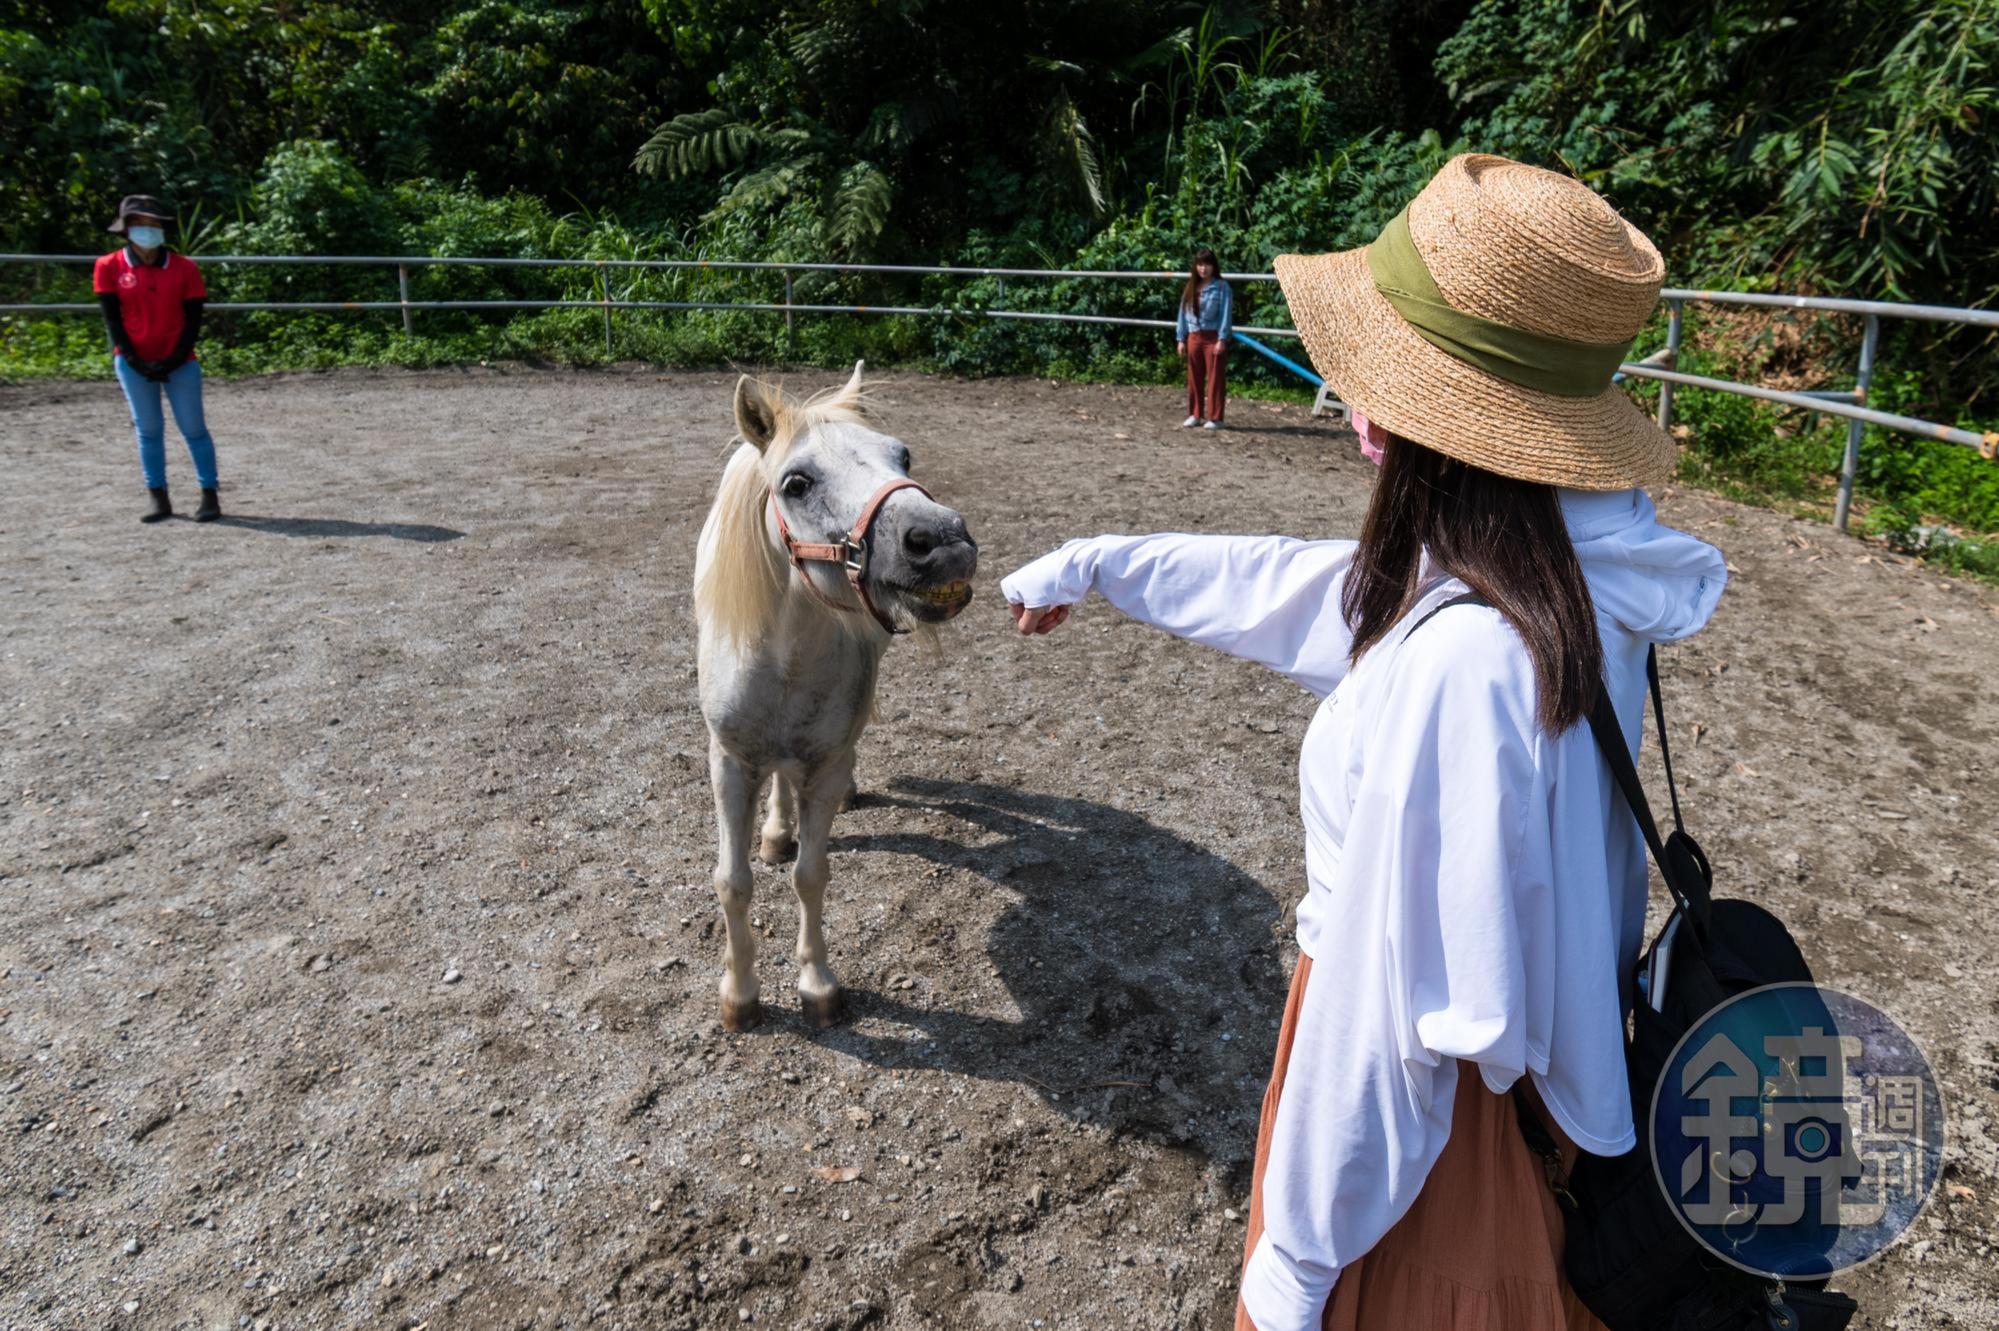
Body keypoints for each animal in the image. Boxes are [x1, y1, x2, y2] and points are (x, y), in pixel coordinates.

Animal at [694, 363, 978, 1031]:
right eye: (796, 483)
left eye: (903, 455)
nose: (944, 540)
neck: (783, 659)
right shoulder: (729, 763)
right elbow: (733, 881)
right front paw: (739, 994)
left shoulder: (822, 764)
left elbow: (812, 876)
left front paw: (816, 985)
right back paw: (775, 831)